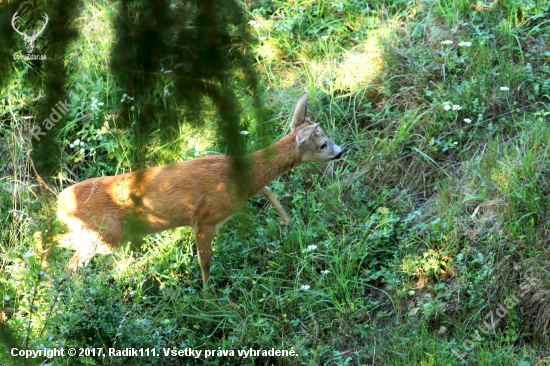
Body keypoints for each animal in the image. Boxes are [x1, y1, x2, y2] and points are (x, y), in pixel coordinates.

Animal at [35, 93, 340, 286]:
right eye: (322, 143)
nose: (340, 152)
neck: (236, 177)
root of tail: (60, 203)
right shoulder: (205, 219)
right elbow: (205, 262)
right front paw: (209, 298)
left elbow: (266, 188)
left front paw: (288, 223)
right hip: (107, 235)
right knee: (70, 260)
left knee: (47, 240)